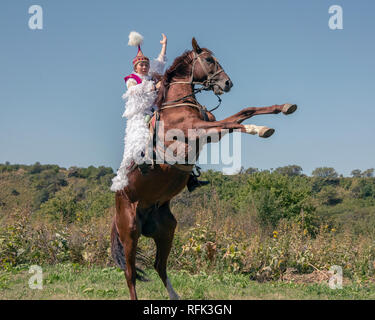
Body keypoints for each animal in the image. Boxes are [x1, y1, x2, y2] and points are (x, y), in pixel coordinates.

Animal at [110, 37, 298, 300]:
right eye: (209, 60)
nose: (227, 83)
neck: (178, 103)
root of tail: (118, 199)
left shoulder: (211, 132)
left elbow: (244, 112)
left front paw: (284, 107)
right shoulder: (199, 129)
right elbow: (234, 123)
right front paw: (259, 129)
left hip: (166, 229)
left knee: (160, 265)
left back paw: (175, 297)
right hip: (130, 230)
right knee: (130, 274)